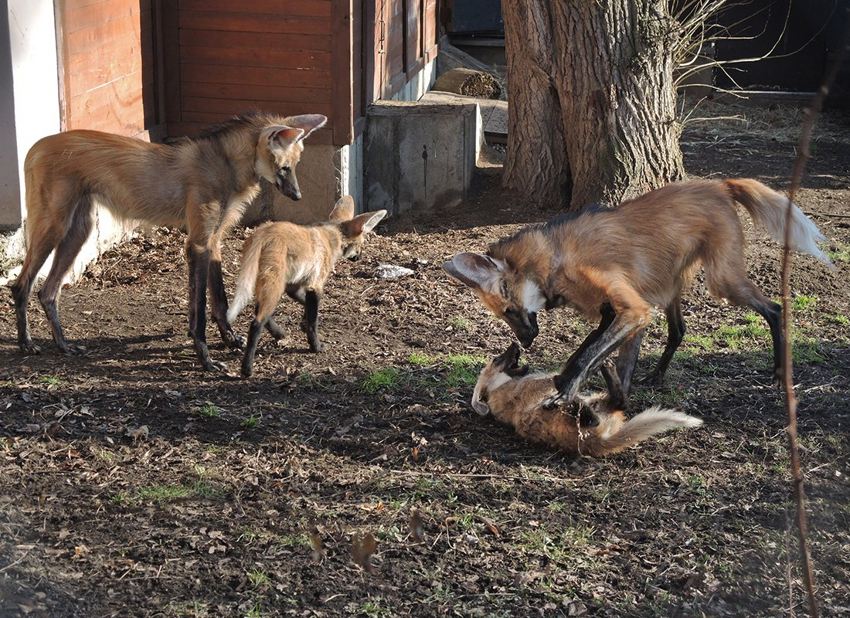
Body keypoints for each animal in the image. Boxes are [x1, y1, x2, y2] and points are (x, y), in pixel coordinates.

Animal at [11, 109, 326, 368]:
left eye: (295, 165)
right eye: (285, 167)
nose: (298, 196)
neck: (226, 164)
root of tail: (35, 146)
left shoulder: (213, 240)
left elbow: (219, 299)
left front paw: (230, 339)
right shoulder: (198, 242)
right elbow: (199, 309)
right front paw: (206, 359)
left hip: (78, 232)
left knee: (48, 292)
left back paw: (63, 345)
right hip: (54, 227)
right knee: (21, 285)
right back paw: (27, 343)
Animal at [225, 195, 384, 376]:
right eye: (361, 244)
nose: (360, 257)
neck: (332, 238)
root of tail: (262, 233)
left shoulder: (294, 285)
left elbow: (306, 306)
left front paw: (303, 324)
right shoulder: (315, 285)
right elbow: (313, 321)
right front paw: (316, 346)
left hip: (266, 281)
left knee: (258, 310)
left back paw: (278, 333)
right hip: (275, 284)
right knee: (256, 323)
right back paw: (247, 368)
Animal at [444, 177, 828, 404]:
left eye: (509, 311)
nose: (525, 342)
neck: (551, 260)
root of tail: (719, 184)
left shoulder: (630, 309)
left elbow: (587, 354)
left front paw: (568, 391)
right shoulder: (613, 310)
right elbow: (589, 352)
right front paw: (592, 389)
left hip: (722, 282)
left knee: (774, 308)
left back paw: (778, 374)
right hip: (668, 283)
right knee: (679, 329)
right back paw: (655, 377)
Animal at [470, 342, 704, 458]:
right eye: (497, 359)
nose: (515, 343)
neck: (498, 388)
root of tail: (595, 443)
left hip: (598, 402)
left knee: (618, 402)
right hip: (570, 416)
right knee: (605, 410)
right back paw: (584, 398)